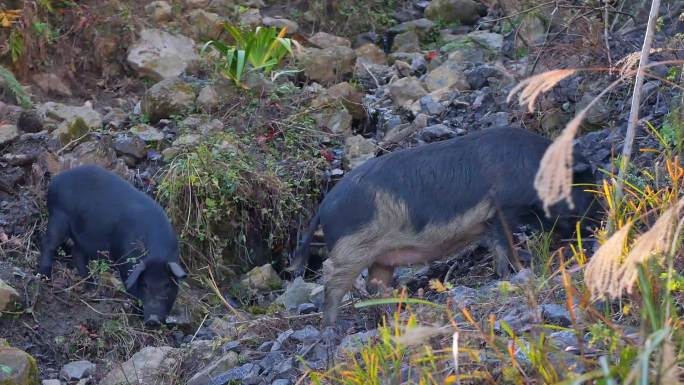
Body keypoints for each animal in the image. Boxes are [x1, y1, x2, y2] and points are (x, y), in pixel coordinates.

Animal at [37, 164, 187, 326]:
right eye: (145, 285)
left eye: (167, 285)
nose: (152, 320)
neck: (157, 254)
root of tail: (55, 180)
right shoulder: (125, 261)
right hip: (58, 217)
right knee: (48, 243)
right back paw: (44, 277)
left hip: (81, 236)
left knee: (77, 253)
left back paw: (92, 288)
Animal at [292, 126, 600, 324]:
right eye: (586, 188)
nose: (599, 221)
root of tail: (323, 207)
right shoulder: (502, 210)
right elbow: (504, 244)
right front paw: (515, 271)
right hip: (352, 248)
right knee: (332, 278)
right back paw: (331, 327)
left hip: (381, 258)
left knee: (374, 284)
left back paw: (391, 311)